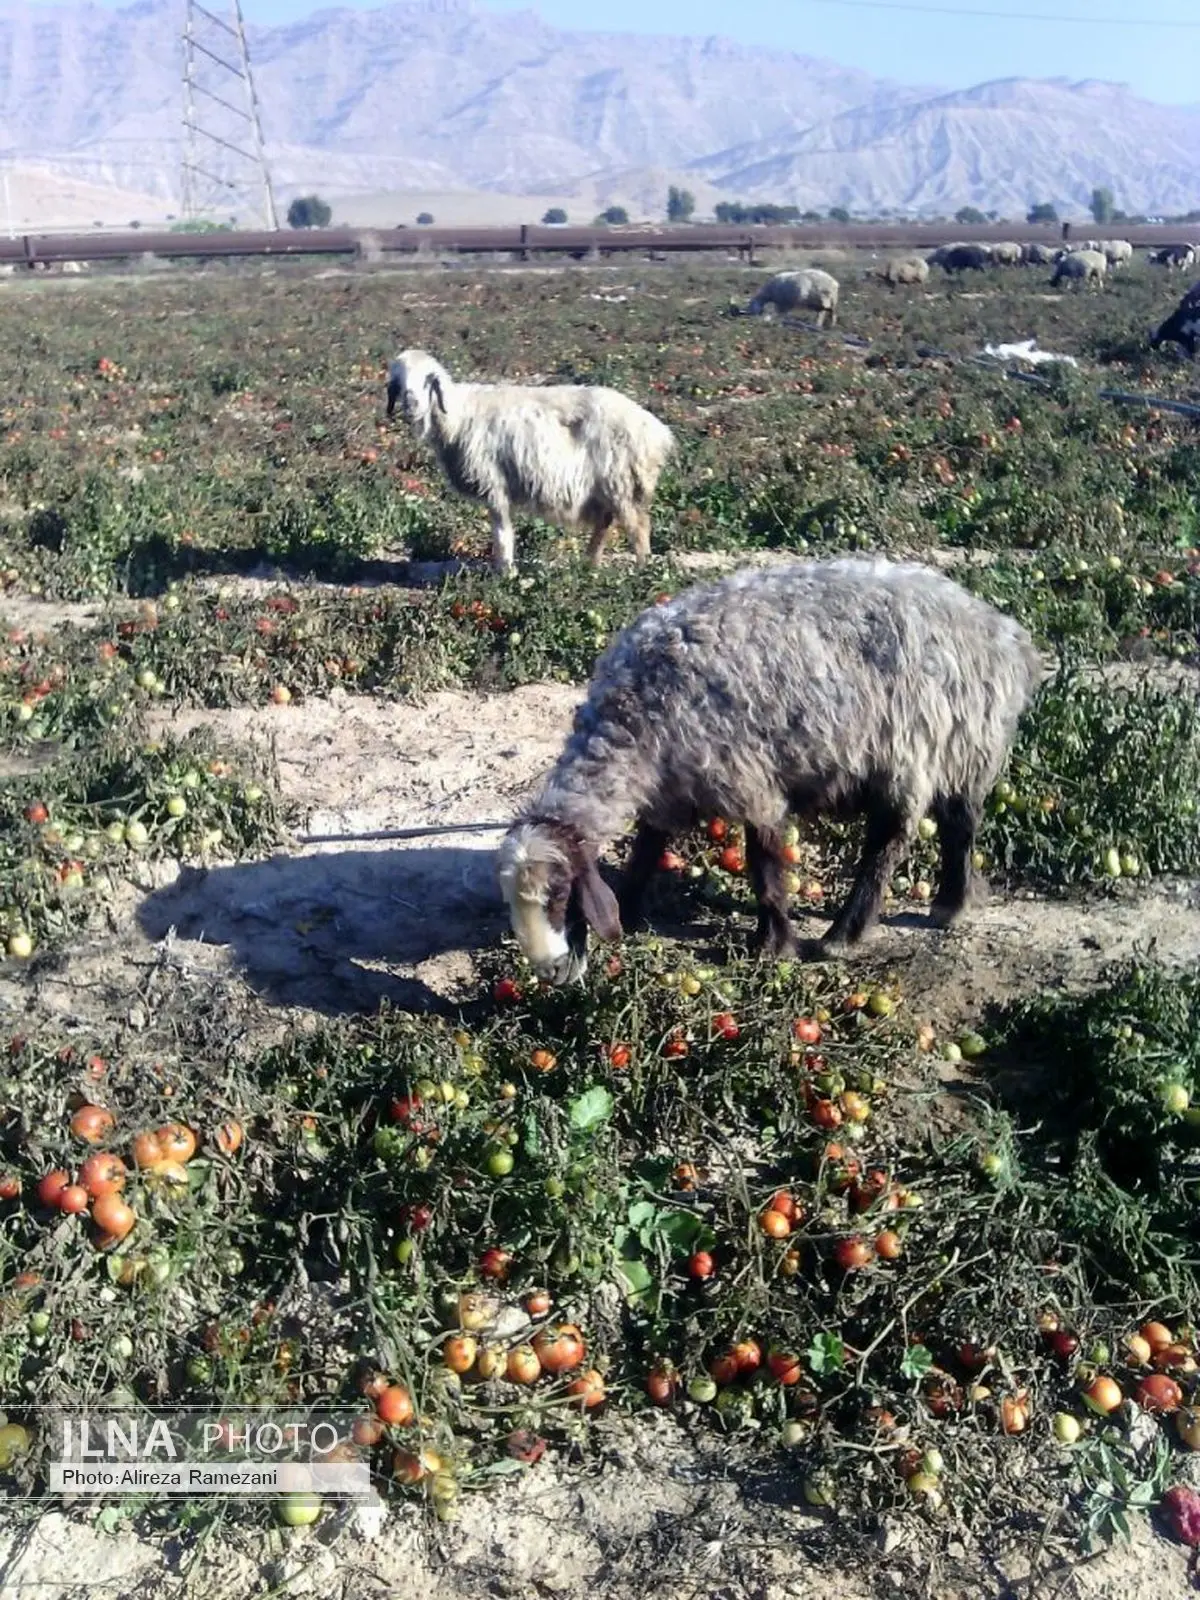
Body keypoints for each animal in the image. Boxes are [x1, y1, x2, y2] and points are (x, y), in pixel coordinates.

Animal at [392, 352, 681, 576]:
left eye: (428, 380)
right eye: (399, 381)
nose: (411, 405)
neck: (457, 415)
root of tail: (658, 432)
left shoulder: (494, 483)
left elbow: (501, 534)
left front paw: (505, 573)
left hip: (622, 481)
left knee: (638, 528)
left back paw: (642, 571)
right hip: (608, 487)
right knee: (606, 523)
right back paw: (591, 565)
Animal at [499, 556, 1043, 979]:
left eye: (559, 894)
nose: (550, 971)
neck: (634, 721)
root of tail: (1004, 637)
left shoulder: (749, 779)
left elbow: (763, 865)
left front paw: (773, 943)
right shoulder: (670, 790)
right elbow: (646, 851)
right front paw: (630, 909)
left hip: (913, 748)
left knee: (890, 841)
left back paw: (843, 934)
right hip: (962, 746)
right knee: (959, 824)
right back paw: (952, 902)